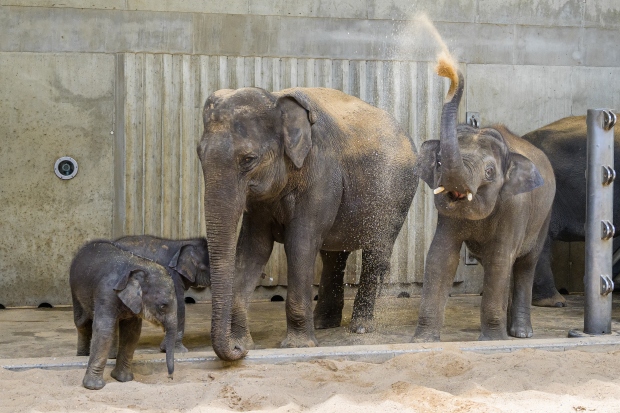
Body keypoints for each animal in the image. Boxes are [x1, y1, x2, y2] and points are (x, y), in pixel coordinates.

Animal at [69, 240, 178, 388]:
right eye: (162, 306)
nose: (170, 377)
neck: (140, 265)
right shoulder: (106, 293)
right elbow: (103, 330)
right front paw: (93, 387)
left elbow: (132, 333)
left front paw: (123, 379)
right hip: (74, 290)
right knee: (82, 322)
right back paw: (82, 355)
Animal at [197, 86, 422, 360]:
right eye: (199, 154)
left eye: (249, 159)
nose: (238, 351)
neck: (276, 98)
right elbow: (253, 250)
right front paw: (244, 343)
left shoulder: (321, 174)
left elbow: (300, 244)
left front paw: (298, 346)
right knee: (332, 255)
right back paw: (324, 323)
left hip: (396, 194)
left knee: (376, 250)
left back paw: (359, 328)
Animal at [414, 54, 556, 342]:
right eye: (438, 162)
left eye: (489, 172)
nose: (447, 67)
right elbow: (440, 257)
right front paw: (421, 341)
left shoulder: (515, 207)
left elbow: (501, 259)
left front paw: (493, 341)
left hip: (544, 216)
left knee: (525, 264)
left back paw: (521, 333)